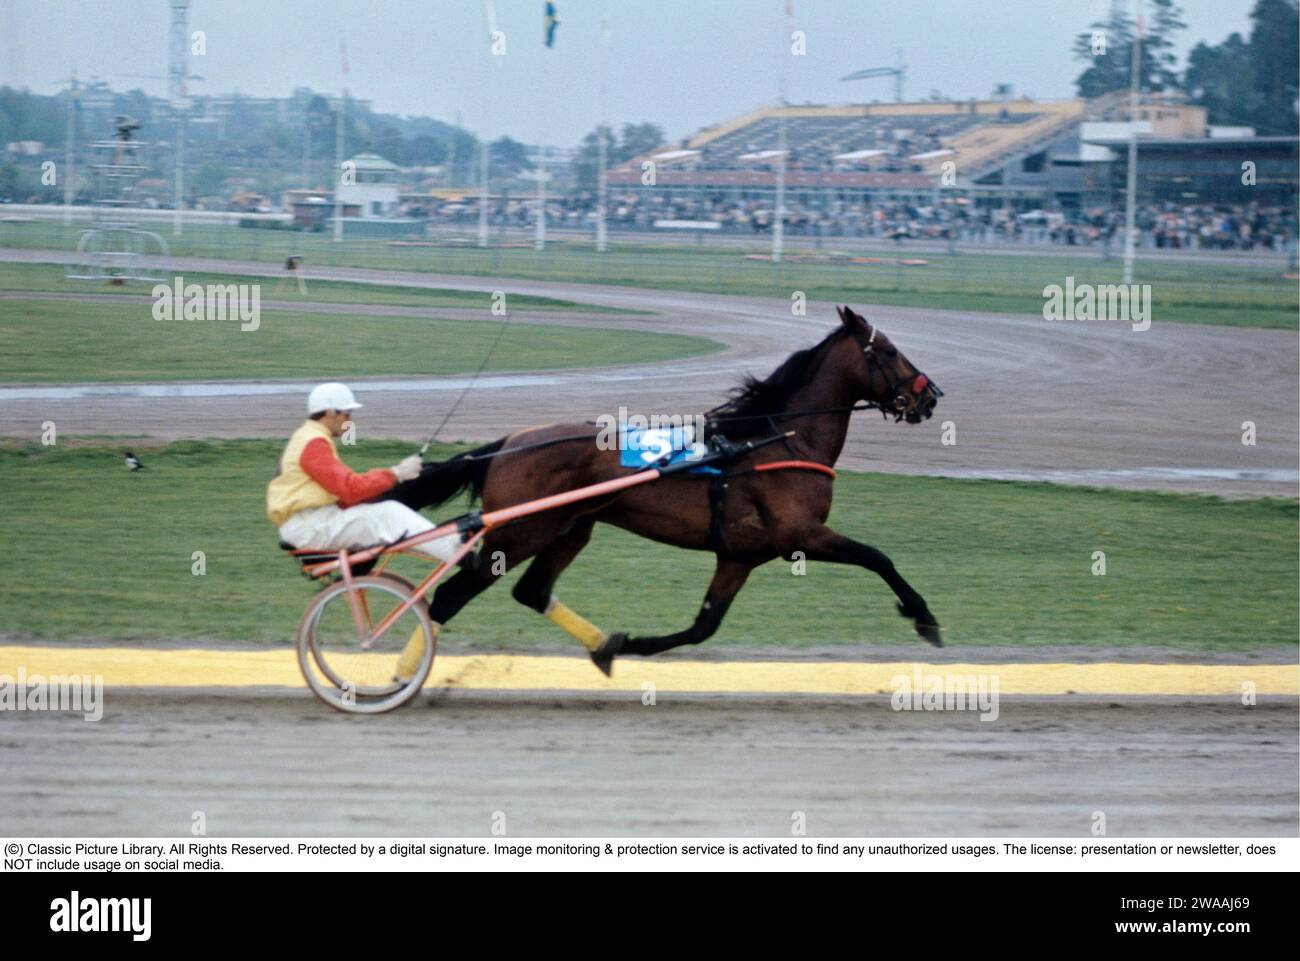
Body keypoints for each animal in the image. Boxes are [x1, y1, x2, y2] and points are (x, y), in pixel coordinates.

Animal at [386, 305, 944, 674]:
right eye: (889, 351)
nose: (931, 395)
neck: (777, 439)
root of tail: (506, 445)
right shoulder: (800, 536)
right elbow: (878, 558)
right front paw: (924, 617)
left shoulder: (739, 556)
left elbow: (702, 627)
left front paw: (629, 645)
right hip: (521, 531)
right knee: (451, 595)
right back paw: (403, 673)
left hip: (571, 528)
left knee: (532, 591)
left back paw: (601, 645)